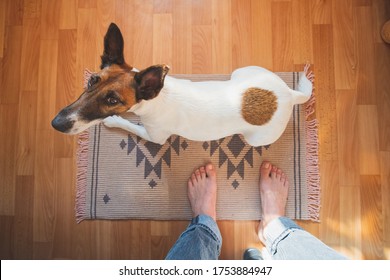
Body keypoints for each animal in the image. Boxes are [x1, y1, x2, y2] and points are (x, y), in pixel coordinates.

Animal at [51, 23, 314, 147]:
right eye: (91, 80)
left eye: (113, 100)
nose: (56, 124)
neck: (156, 99)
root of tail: (288, 94)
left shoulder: (154, 136)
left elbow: (131, 126)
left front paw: (114, 120)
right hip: (242, 71)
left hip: (257, 138)